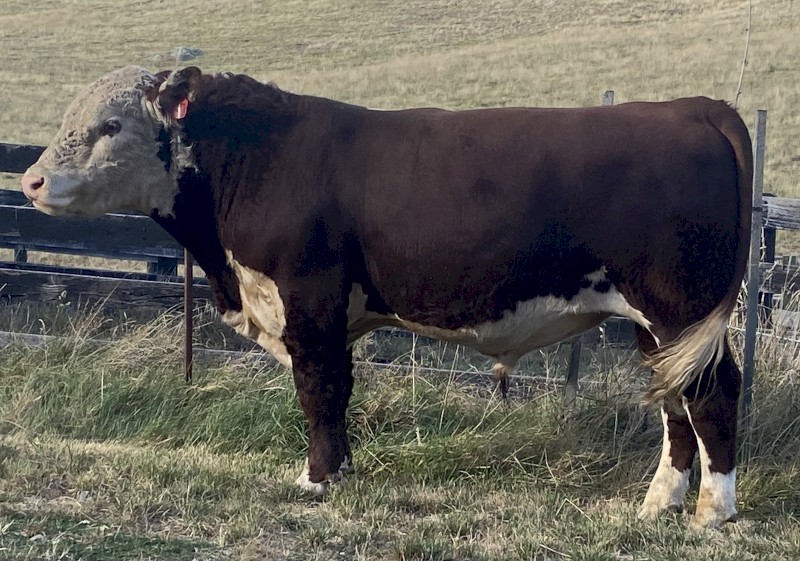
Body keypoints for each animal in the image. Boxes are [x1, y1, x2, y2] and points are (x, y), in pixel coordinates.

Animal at [21, 66, 752, 529]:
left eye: (111, 125)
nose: (30, 181)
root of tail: (688, 107)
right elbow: (337, 393)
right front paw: (339, 472)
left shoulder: (310, 300)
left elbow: (319, 390)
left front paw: (315, 480)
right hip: (657, 324)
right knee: (675, 399)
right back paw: (660, 502)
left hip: (679, 305)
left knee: (713, 391)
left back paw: (712, 511)